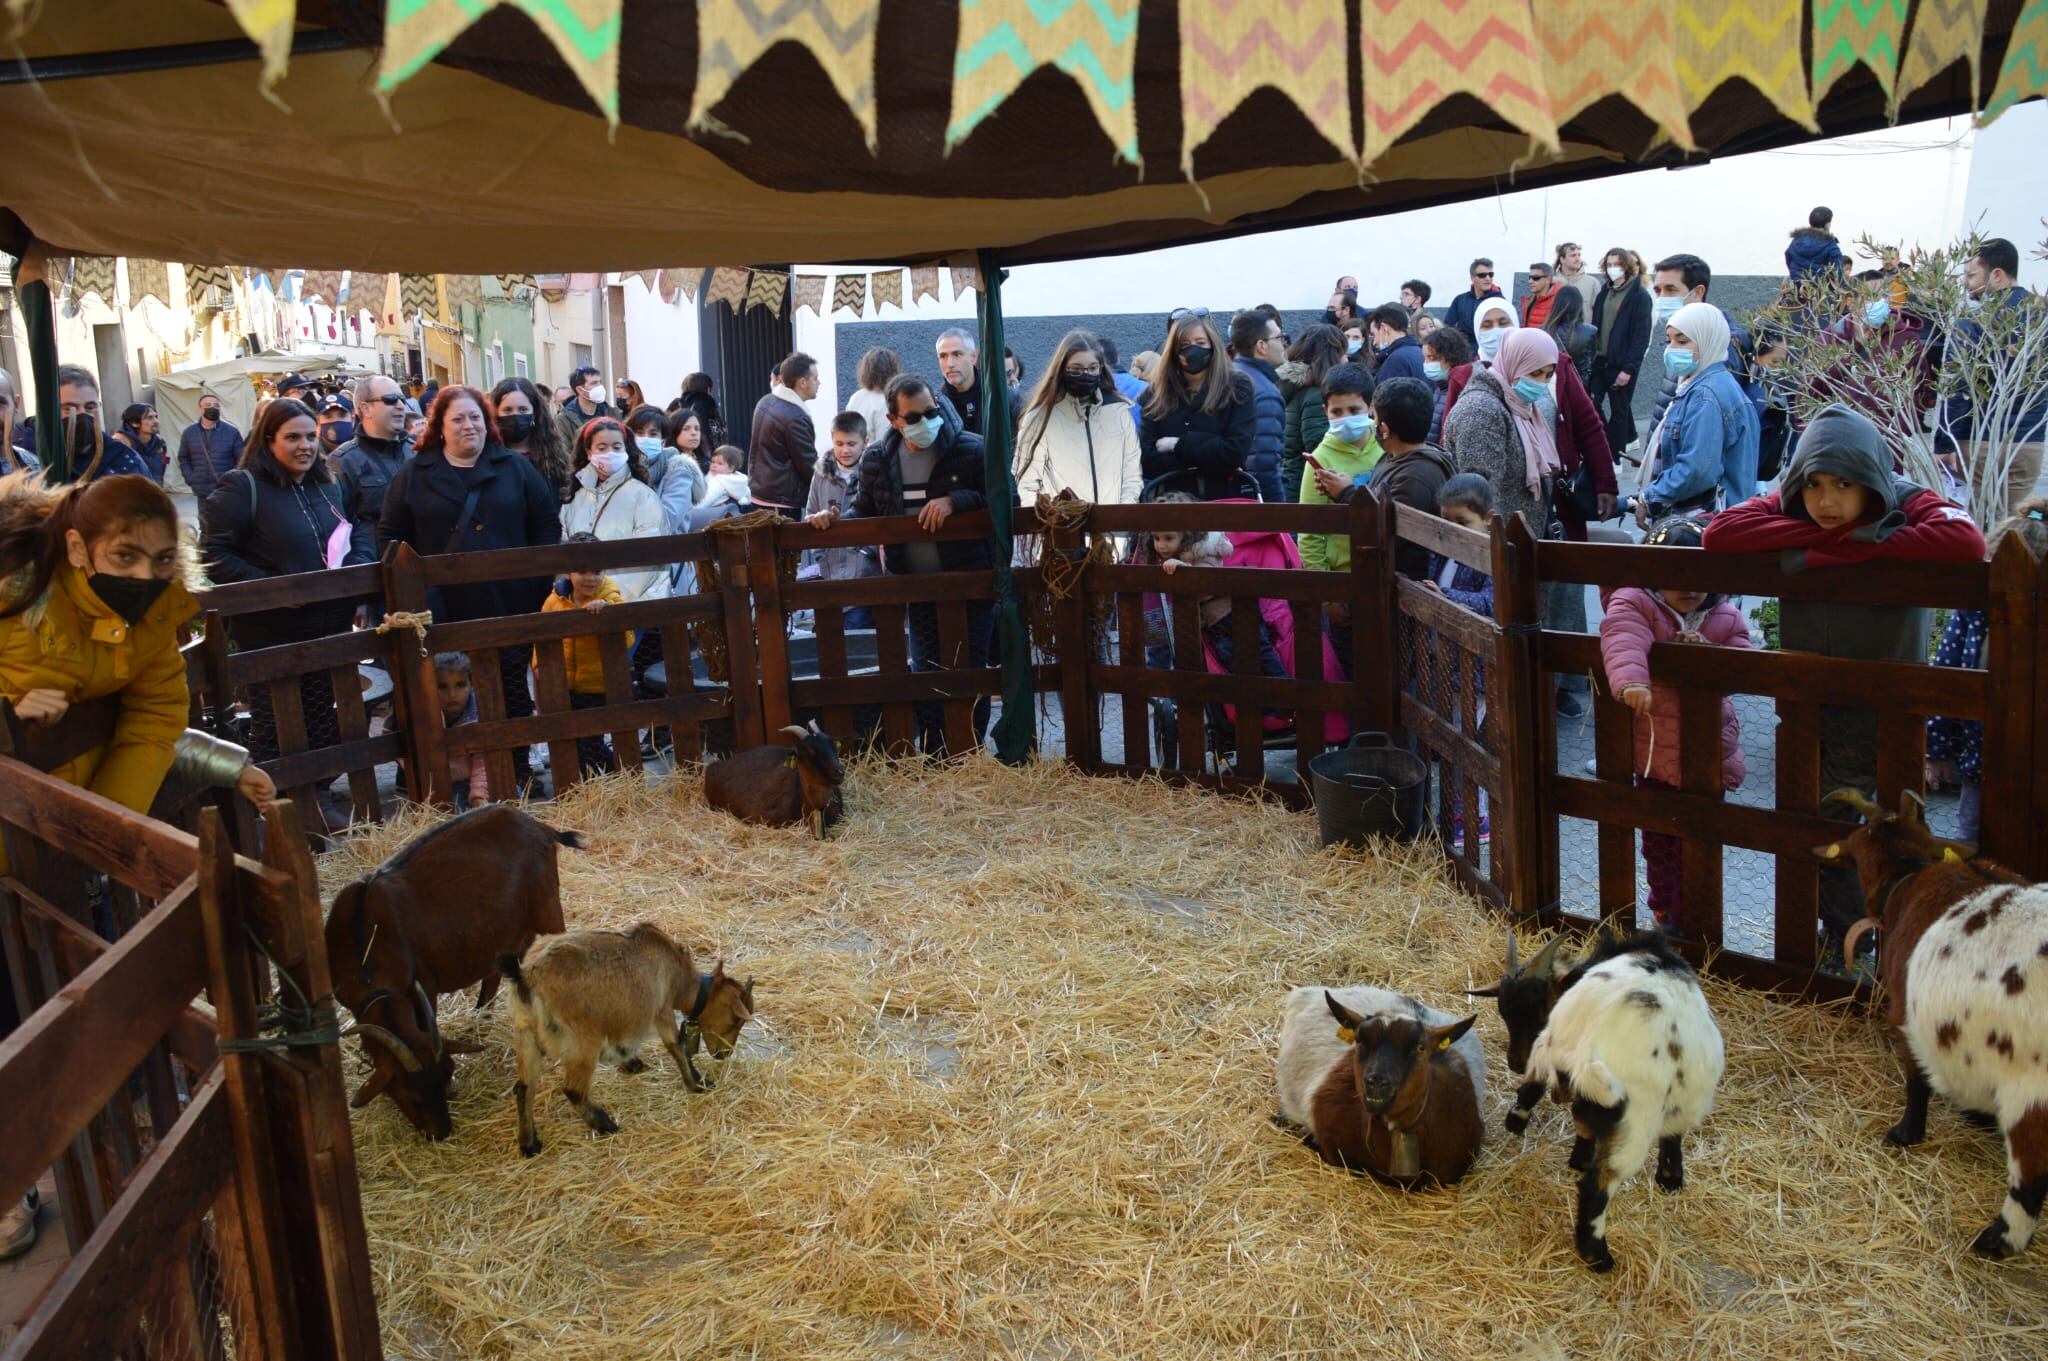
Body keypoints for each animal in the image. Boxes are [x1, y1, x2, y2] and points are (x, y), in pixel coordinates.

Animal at [321, 806, 577, 1137]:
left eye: (446, 1077)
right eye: (408, 1095)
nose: (441, 1132)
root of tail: (540, 827)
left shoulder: (423, 986)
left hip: (547, 909)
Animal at [499, 916, 757, 1154]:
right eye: (737, 1019)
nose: (725, 1053)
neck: (679, 975)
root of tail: (526, 976)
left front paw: (631, 1063)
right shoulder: (662, 1010)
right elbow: (677, 1046)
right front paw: (697, 1083)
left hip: (525, 1033)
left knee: (523, 1088)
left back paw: (529, 1144)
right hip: (583, 1040)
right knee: (573, 1089)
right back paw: (605, 1124)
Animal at [1810, 789, 2048, 1260]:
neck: (1909, 875)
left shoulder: (1906, 1015)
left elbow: (1916, 1079)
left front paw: (1906, 1132)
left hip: (2031, 1090)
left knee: (2030, 1178)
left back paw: (1997, 1240)